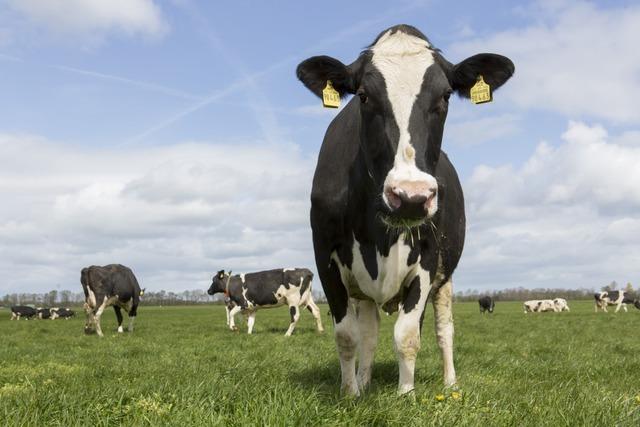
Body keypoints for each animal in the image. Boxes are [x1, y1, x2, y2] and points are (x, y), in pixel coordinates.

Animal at [296, 24, 516, 398]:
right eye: (363, 96)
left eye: (445, 96)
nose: (411, 196)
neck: (377, 233)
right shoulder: (325, 256)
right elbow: (348, 336)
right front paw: (352, 393)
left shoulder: (427, 259)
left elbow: (408, 335)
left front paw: (406, 394)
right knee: (369, 335)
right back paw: (365, 380)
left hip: (445, 280)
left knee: (443, 331)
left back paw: (450, 382)